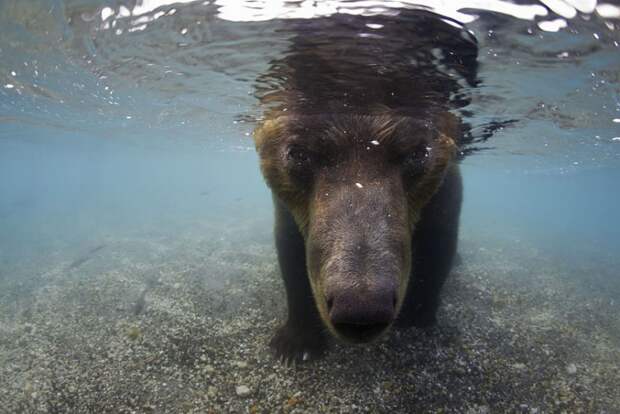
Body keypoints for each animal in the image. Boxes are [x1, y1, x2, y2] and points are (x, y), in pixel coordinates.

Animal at [252, 8, 480, 360]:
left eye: (417, 153)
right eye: (299, 153)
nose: (360, 307)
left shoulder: (443, 188)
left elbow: (439, 240)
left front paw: (416, 316)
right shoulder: (289, 202)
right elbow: (291, 249)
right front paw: (296, 343)